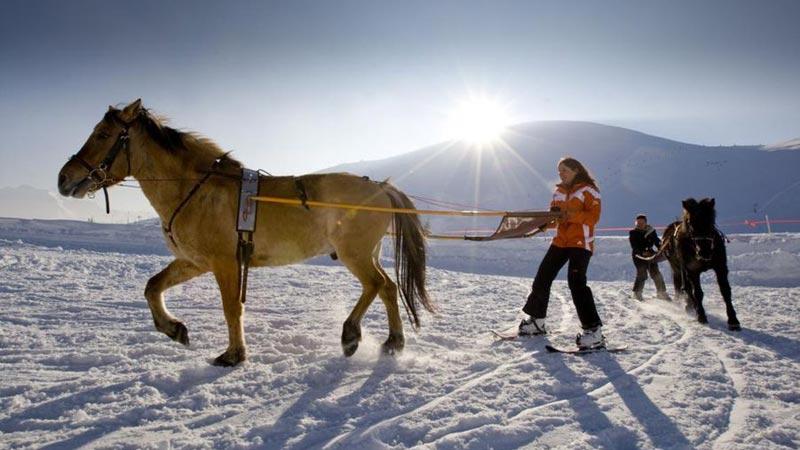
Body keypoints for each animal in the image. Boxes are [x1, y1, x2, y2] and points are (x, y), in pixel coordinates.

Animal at [57, 98, 434, 366]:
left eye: (103, 135)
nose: (64, 178)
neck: (195, 188)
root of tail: (382, 187)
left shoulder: (225, 262)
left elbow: (231, 308)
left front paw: (233, 355)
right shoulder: (195, 261)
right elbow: (153, 287)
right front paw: (174, 329)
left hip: (354, 254)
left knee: (375, 285)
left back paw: (351, 335)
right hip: (367, 253)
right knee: (388, 288)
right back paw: (392, 343)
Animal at [652, 197, 740, 330]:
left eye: (710, 222)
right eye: (691, 224)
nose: (705, 252)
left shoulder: (720, 267)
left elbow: (725, 291)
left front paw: (733, 320)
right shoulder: (692, 270)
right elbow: (697, 292)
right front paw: (701, 315)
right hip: (677, 268)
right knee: (686, 287)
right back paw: (691, 306)